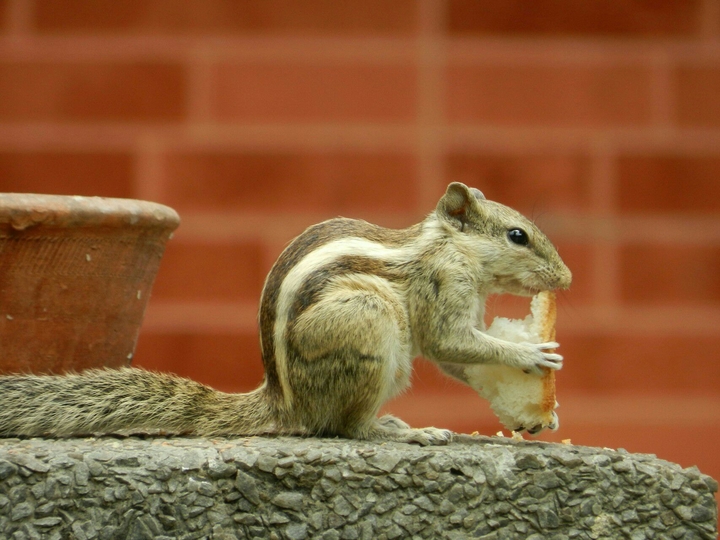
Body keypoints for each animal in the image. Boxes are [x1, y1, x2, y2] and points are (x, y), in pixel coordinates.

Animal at [0, 182, 571, 445]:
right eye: (517, 235)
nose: (566, 279)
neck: (448, 246)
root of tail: (285, 404)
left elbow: (459, 360)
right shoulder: (442, 287)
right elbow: (449, 342)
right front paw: (528, 353)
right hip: (366, 319)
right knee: (348, 429)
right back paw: (403, 431)